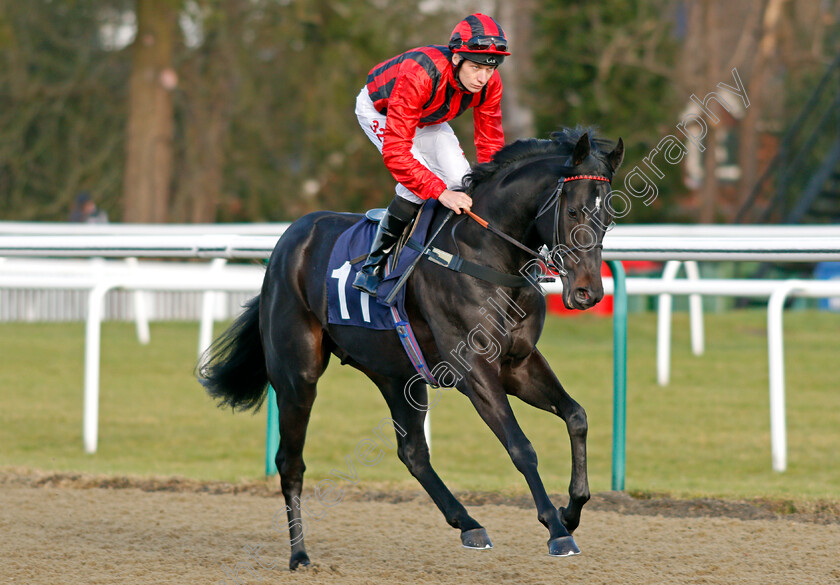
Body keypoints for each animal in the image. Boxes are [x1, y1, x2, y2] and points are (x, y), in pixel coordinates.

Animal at [200, 126, 624, 564]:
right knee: (290, 461)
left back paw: (469, 524)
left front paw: (571, 510)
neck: (483, 253)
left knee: (413, 453)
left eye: (608, 217)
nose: (588, 293)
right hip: (296, 373)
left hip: (396, 373)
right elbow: (520, 446)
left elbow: (576, 416)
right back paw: (299, 554)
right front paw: (557, 529)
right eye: (573, 211)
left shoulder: (519, 363)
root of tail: (289, 239)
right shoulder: (473, 369)